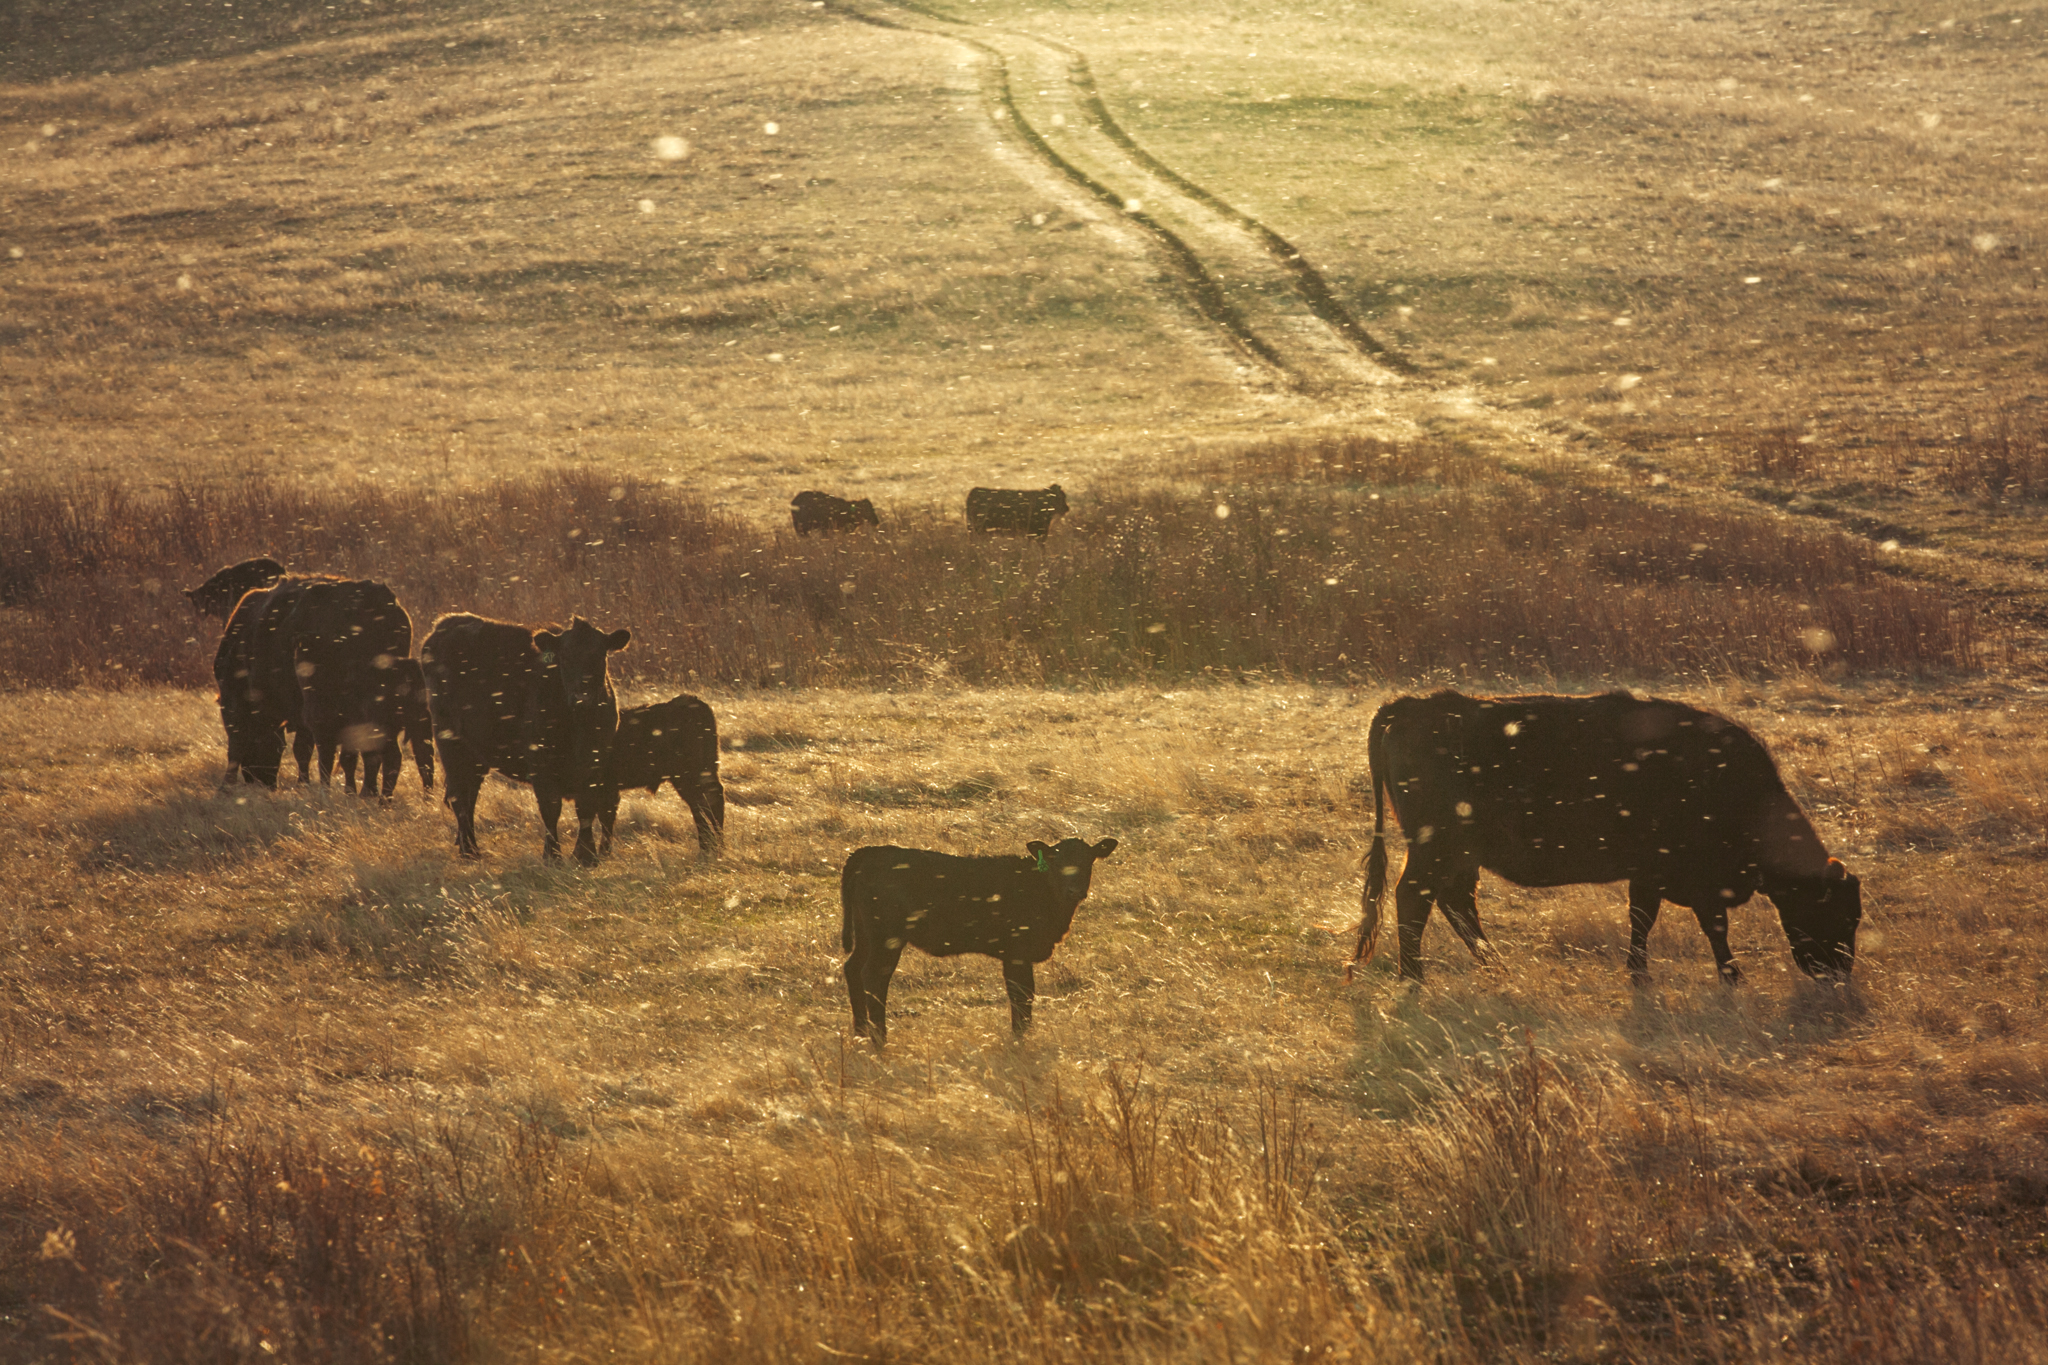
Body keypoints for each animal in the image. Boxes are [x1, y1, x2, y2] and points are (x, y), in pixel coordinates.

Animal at [419, 609, 626, 863]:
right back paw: (470, 851)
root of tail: (447, 623)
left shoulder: (596, 762)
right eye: (565, 658)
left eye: (600, 656)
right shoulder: (540, 761)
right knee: (460, 796)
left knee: (470, 795)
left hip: (476, 753)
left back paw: (470, 847)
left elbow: (586, 807)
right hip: (450, 743)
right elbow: (551, 808)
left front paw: (585, 856)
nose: (582, 698)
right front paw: (552, 856)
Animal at [835, 834, 1122, 1047]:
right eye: (1055, 860)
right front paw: (1020, 1038)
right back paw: (879, 1039)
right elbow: (1021, 995)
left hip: (866, 934)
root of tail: (868, 852)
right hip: (886, 937)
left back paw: (861, 1033)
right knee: (874, 976)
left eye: (1089, 861)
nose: (1075, 890)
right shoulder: (1017, 953)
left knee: (853, 969)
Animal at [1351, 695, 1867, 994]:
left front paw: (1641, 974)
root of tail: (1412, 705)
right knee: (1414, 898)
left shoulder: (1652, 874)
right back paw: (1414, 978)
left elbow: (1645, 920)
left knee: (1455, 902)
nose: (1838, 972)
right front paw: (1729, 976)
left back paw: (1495, 967)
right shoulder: (1685, 877)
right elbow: (1704, 926)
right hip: (1434, 848)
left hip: (1459, 855)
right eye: (1841, 913)